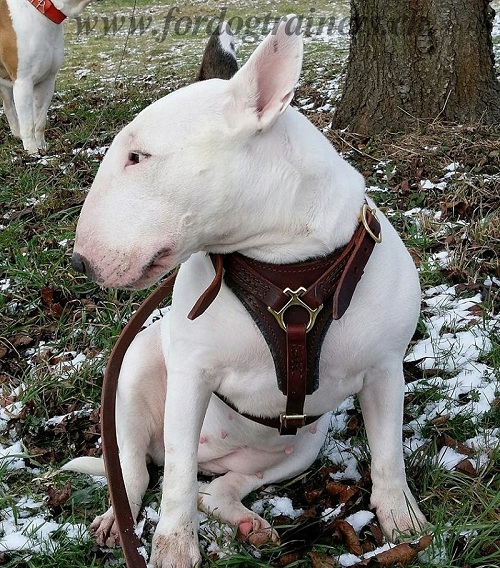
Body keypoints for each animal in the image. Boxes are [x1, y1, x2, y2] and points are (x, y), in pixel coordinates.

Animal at [0, 0, 94, 153]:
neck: (41, 9)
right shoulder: (23, 83)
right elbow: (28, 125)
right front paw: (32, 153)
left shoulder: (47, 81)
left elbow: (39, 121)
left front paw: (42, 149)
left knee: (7, 105)